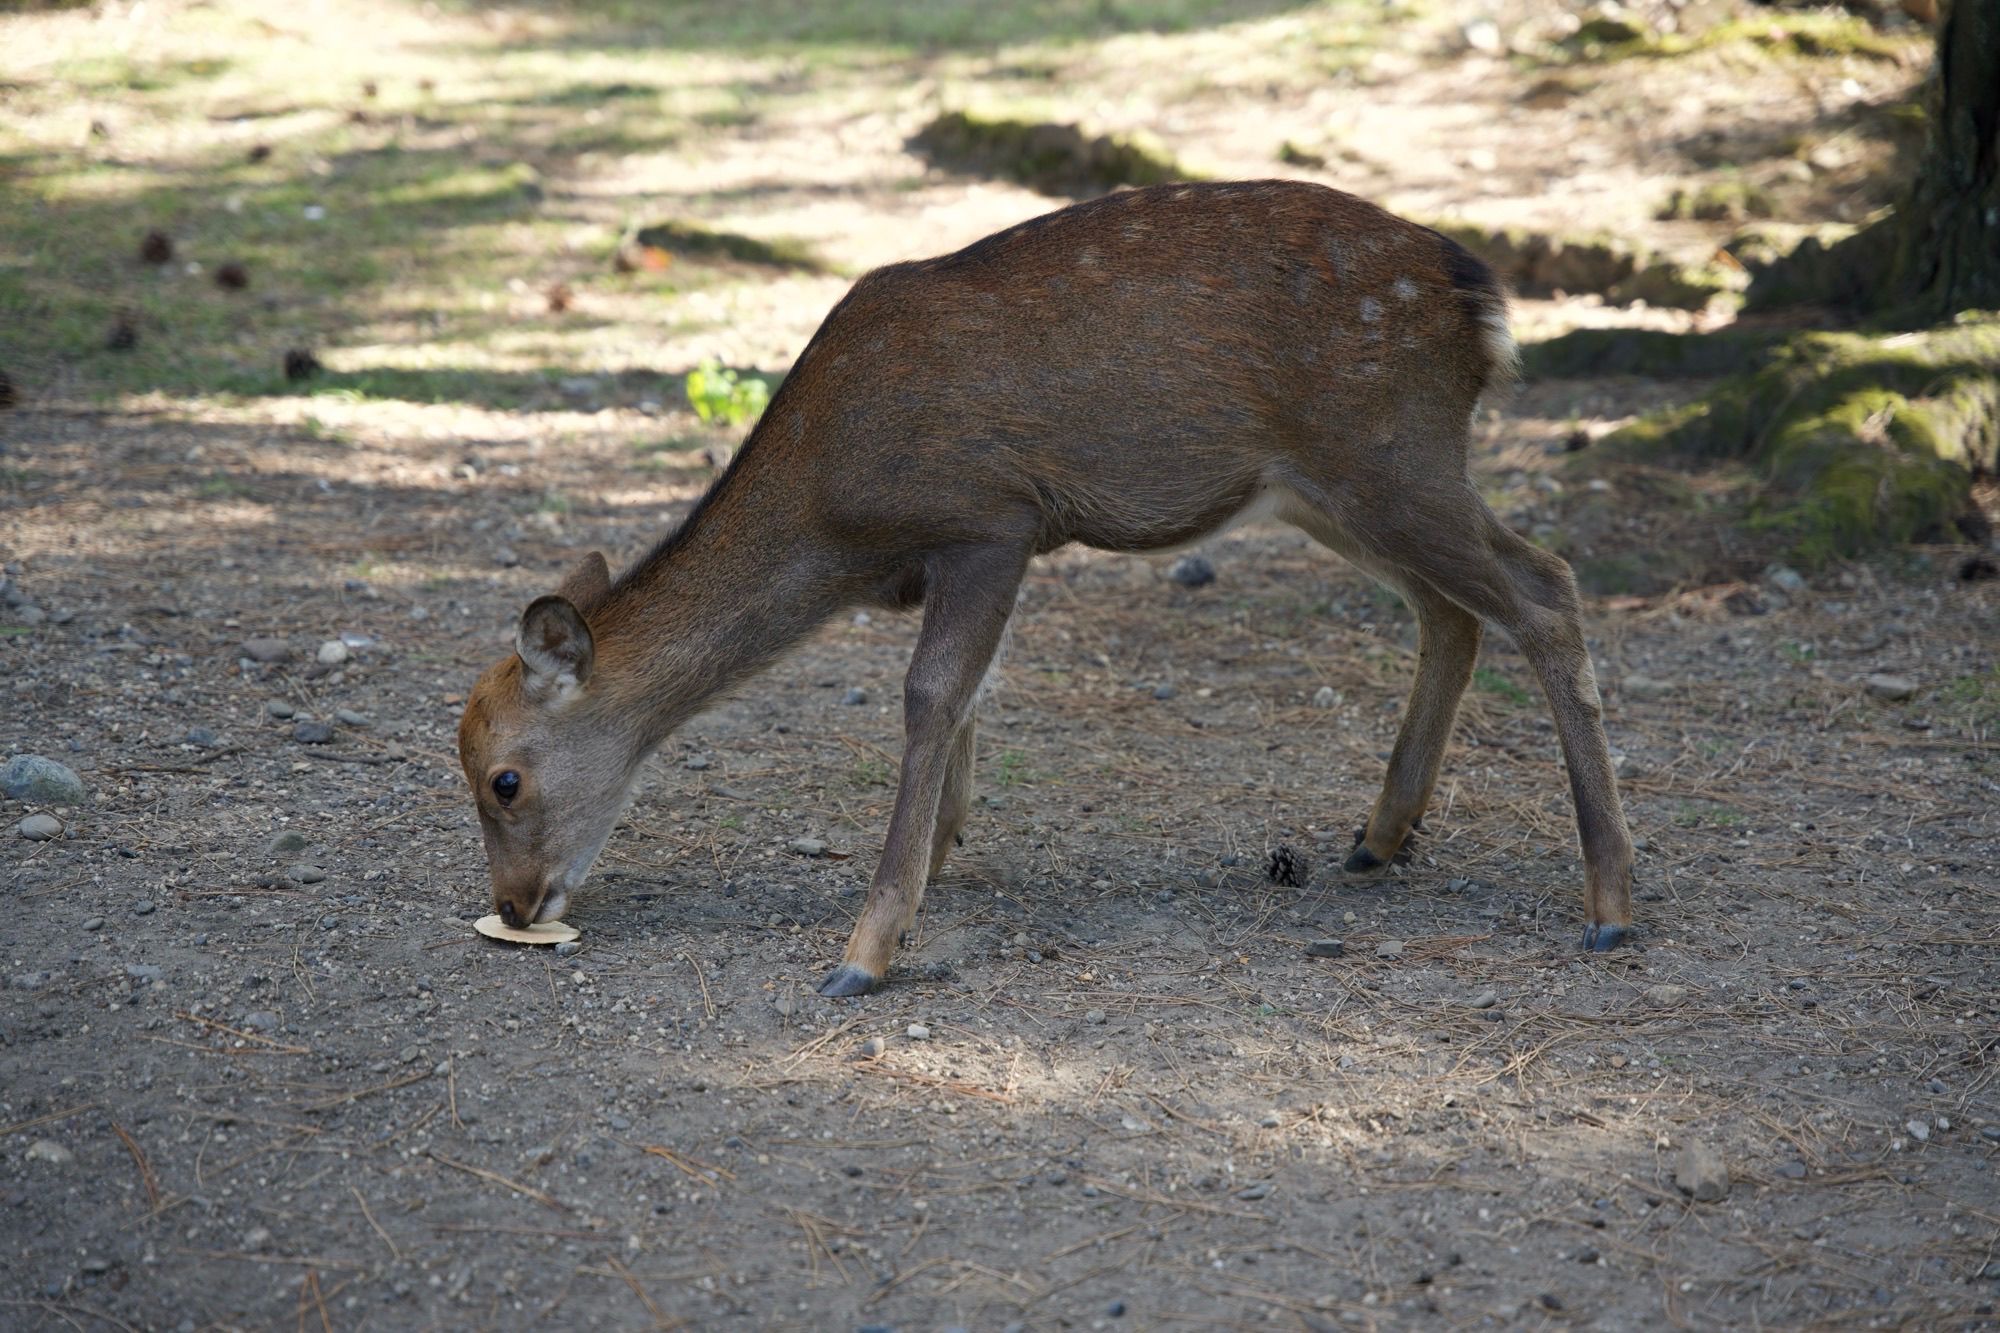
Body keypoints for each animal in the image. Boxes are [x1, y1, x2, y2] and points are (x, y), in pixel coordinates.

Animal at [460, 176, 1632, 992]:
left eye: (503, 779)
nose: (512, 907)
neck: (835, 521)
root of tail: (1479, 302)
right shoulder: (973, 550)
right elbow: (968, 695)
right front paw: (940, 854)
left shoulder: (989, 516)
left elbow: (930, 695)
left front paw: (867, 946)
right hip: (1328, 486)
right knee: (1450, 610)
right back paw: (1377, 838)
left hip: (1388, 450)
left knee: (1545, 585)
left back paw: (1610, 899)